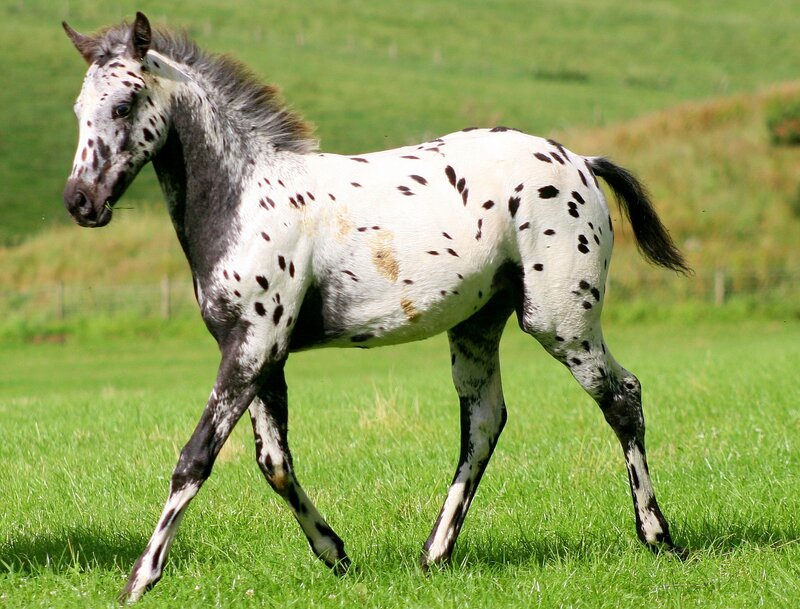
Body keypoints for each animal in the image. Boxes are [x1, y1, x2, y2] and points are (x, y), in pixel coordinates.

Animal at [62, 12, 691, 603]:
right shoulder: (258, 355)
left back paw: (659, 539)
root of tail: (581, 160)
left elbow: (195, 459)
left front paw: (140, 579)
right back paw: (435, 554)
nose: (80, 202)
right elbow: (274, 463)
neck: (248, 199)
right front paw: (335, 553)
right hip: (478, 326)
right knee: (484, 422)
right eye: (78, 110)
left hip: (562, 323)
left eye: (123, 104)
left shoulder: (252, 349)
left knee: (622, 398)